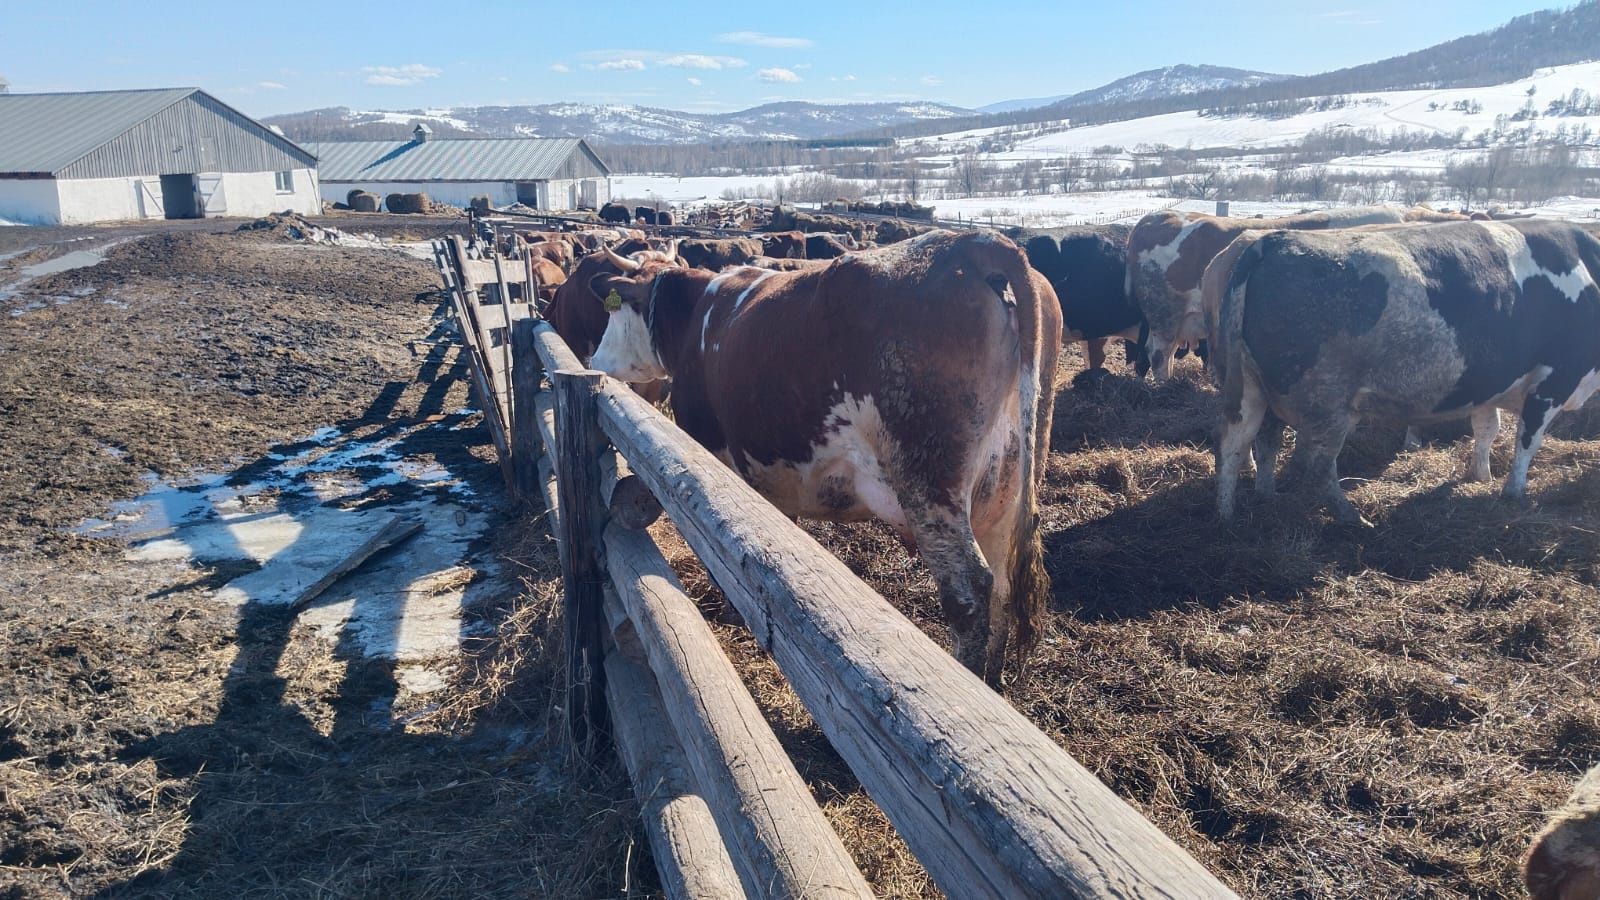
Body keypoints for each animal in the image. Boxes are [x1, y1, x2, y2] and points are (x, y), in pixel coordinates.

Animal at [588, 230, 1062, 679]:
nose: (594, 360)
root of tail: (976, 242)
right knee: (1001, 589)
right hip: (1005, 492)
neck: (696, 319)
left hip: (929, 483)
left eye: (613, 312)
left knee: (969, 594)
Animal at [1209, 217, 1600, 522]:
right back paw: (1352, 518)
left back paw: (1233, 514)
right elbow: (1526, 441)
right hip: (1327, 402)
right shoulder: (1554, 379)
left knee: (1241, 442)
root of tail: (1271, 241)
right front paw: (1513, 492)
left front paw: (1481, 476)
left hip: (1252, 388)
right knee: (1317, 464)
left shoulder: (1486, 386)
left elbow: (1487, 430)